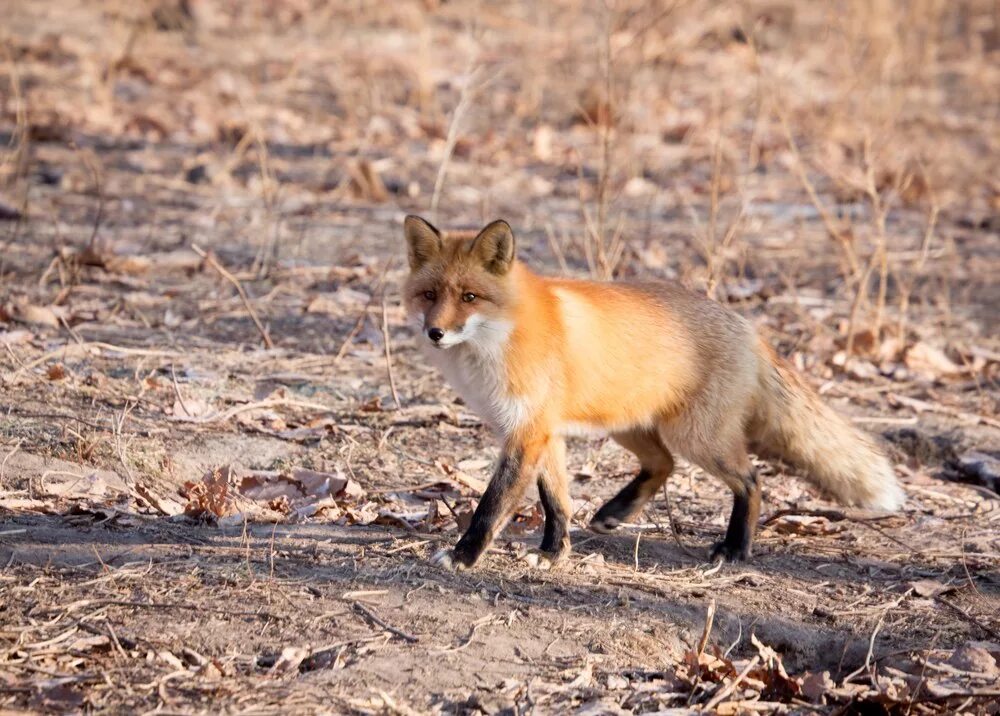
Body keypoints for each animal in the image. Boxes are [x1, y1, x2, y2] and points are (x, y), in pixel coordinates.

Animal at [400, 214, 908, 572]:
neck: (502, 338)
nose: (434, 333)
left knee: (750, 479)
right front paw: (553, 553)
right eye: (429, 295)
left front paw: (463, 557)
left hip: (697, 438)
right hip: (630, 427)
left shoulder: (527, 432)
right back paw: (617, 511)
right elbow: (557, 502)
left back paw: (735, 548)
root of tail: (748, 327)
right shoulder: (541, 432)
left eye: (469, 297)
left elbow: (493, 505)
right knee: (663, 464)